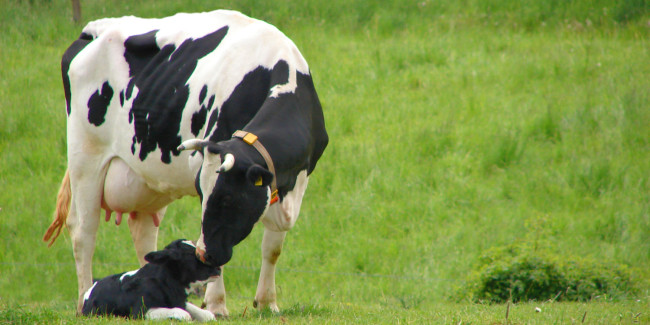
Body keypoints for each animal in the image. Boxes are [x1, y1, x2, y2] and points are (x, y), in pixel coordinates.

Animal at [82, 239, 220, 320]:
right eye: (191, 255)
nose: (218, 268)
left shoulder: (180, 301)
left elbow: (207, 314)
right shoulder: (140, 311)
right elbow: (182, 313)